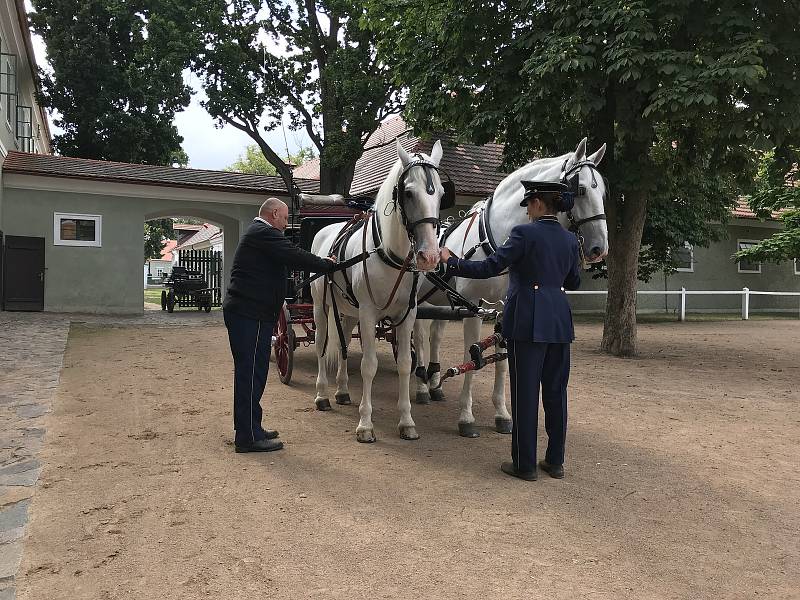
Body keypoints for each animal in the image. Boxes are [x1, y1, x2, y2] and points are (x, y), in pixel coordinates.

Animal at [310, 139, 444, 440]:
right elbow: (368, 366)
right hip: (320, 308)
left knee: (343, 344)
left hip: (348, 312)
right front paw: (365, 423)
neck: (388, 254)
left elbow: (405, 364)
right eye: (408, 193)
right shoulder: (369, 314)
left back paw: (342, 390)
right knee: (322, 344)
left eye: (441, 193)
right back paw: (322, 394)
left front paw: (406, 421)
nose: (429, 256)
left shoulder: (406, 315)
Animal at [412, 139, 608, 438]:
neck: (495, 239)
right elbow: (471, 359)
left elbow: (503, 362)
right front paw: (466, 417)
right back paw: (423, 385)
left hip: (439, 301)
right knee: (420, 336)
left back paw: (434, 383)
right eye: (581, 189)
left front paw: (502, 414)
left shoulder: (504, 308)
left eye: (604, 192)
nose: (599, 249)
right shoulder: (474, 308)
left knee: (435, 334)